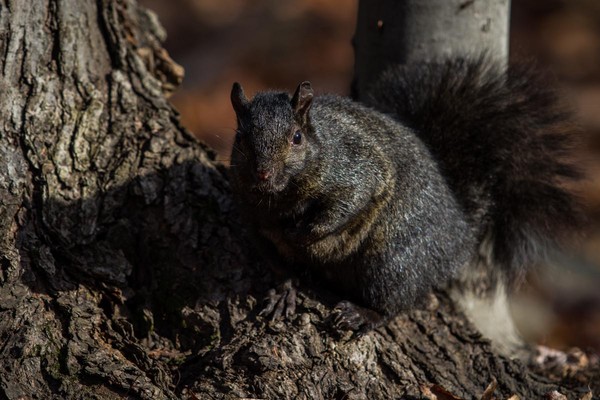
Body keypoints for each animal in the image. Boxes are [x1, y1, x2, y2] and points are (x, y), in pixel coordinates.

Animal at [229, 56, 584, 350]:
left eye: (297, 138)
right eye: (241, 138)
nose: (263, 173)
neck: (281, 198)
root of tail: (461, 234)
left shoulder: (358, 168)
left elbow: (349, 202)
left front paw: (306, 232)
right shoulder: (257, 228)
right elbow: (280, 265)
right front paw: (284, 290)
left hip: (392, 259)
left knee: (396, 301)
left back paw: (363, 314)